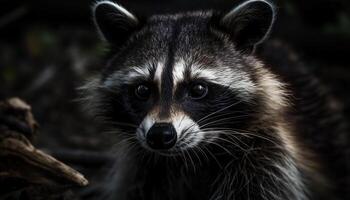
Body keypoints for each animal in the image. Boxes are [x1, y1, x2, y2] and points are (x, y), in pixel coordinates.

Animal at [80, 0, 350, 199]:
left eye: (198, 88)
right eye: (142, 90)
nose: (160, 135)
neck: (189, 157)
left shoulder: (265, 158)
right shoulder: (141, 168)